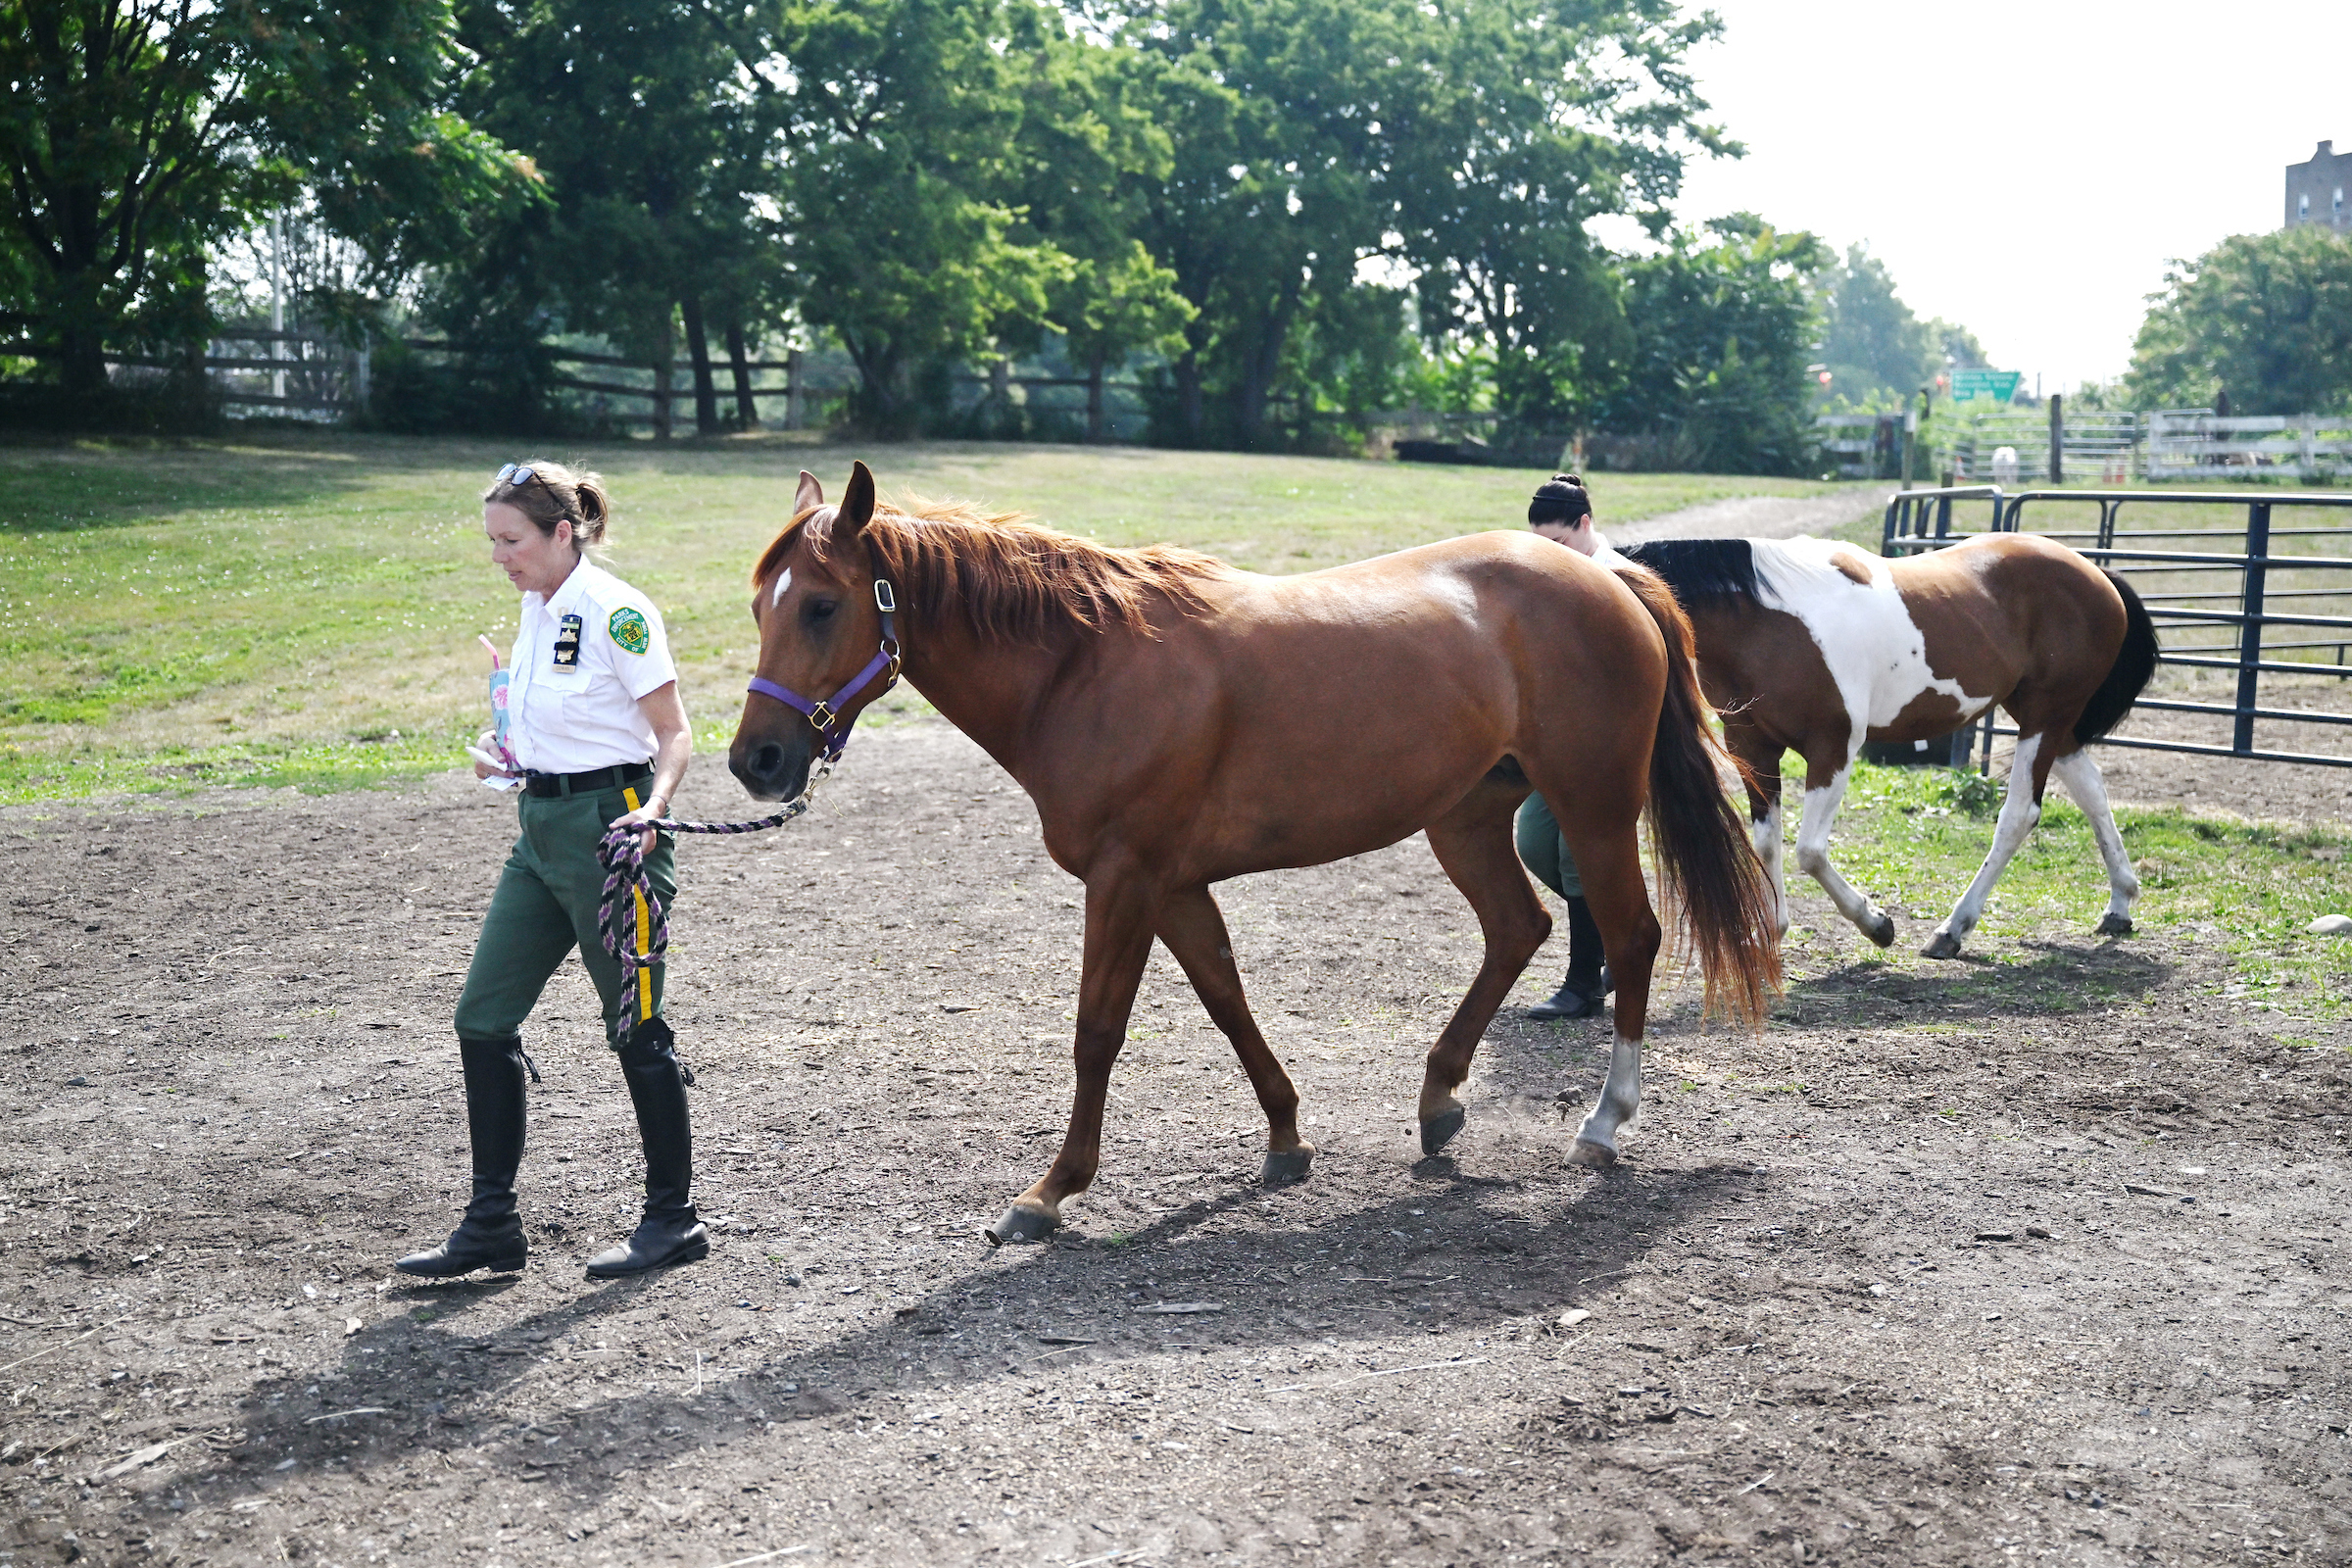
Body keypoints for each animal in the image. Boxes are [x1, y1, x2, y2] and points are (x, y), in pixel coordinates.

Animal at [724, 461, 1768, 1241]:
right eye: (759, 606)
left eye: (820, 606)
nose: (756, 761)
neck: (1084, 666)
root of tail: (1609, 577)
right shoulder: (1176, 886)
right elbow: (1227, 1001)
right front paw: (1286, 1139)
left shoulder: (1126, 879)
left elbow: (1097, 1031)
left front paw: (1050, 1191)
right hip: (1465, 818)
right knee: (1519, 928)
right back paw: (1438, 1101)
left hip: (1594, 810)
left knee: (1629, 939)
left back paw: (1604, 1124)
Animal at [1627, 533, 2154, 963]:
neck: (1766, 622)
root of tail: (2095, 574)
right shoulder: (1753, 747)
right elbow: (1768, 842)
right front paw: (1772, 932)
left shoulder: (1834, 746)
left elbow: (1810, 851)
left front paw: (1876, 924)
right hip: (2043, 718)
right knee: (2091, 789)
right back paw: (2120, 904)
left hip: (2046, 716)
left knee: (2019, 816)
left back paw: (1951, 930)